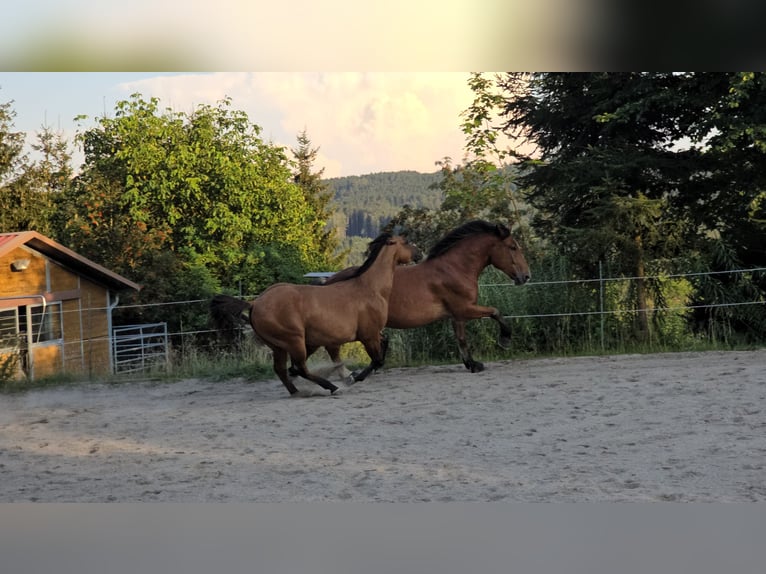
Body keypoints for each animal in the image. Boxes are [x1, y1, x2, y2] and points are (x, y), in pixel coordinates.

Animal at [212, 234, 420, 396]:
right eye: (405, 241)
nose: (420, 253)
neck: (370, 289)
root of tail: (255, 303)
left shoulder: (375, 333)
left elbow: (384, 347)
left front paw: (353, 376)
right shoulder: (368, 335)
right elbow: (377, 359)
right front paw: (354, 377)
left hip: (280, 346)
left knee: (282, 369)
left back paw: (297, 391)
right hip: (294, 341)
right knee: (300, 368)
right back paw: (331, 387)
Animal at [320, 219, 532, 374]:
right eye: (513, 247)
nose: (526, 276)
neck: (455, 269)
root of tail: (328, 282)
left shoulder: (457, 315)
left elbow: (461, 339)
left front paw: (472, 364)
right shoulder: (465, 309)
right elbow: (495, 312)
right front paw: (505, 340)